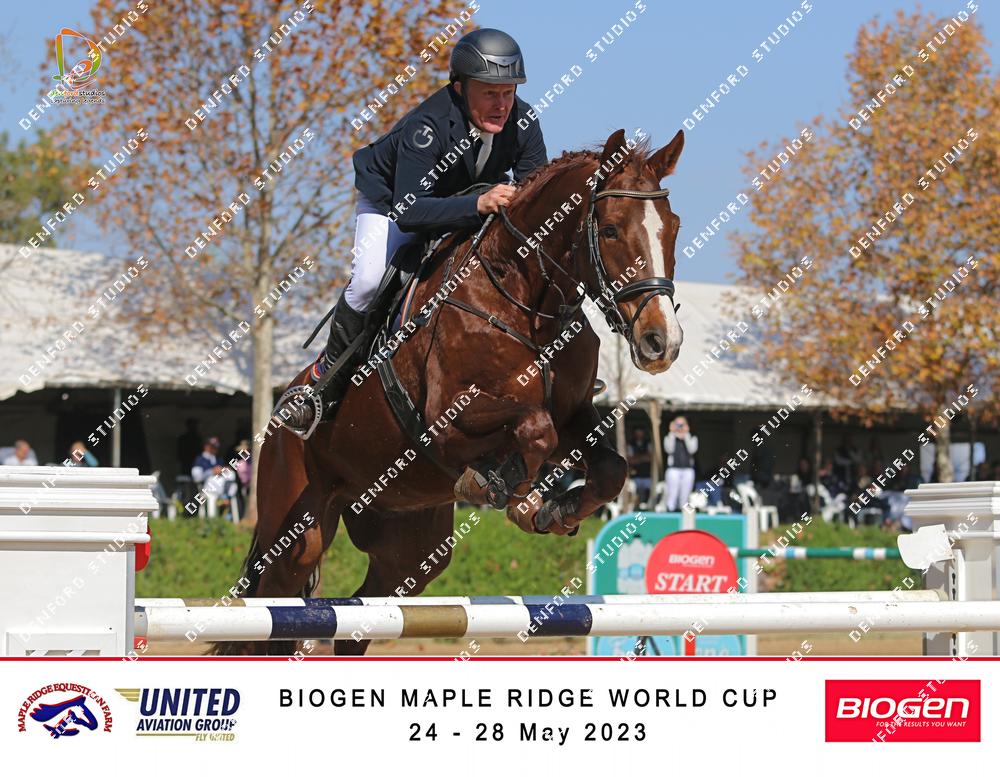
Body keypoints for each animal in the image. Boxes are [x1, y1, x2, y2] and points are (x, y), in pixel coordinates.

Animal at [214, 128, 686, 655]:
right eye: (610, 230)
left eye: (673, 228)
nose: (662, 343)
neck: (525, 300)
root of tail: (277, 417)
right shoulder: (449, 419)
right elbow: (533, 427)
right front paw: (511, 495)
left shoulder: (574, 417)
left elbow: (611, 467)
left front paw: (554, 509)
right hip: (296, 530)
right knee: (273, 607)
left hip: (409, 544)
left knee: (362, 618)